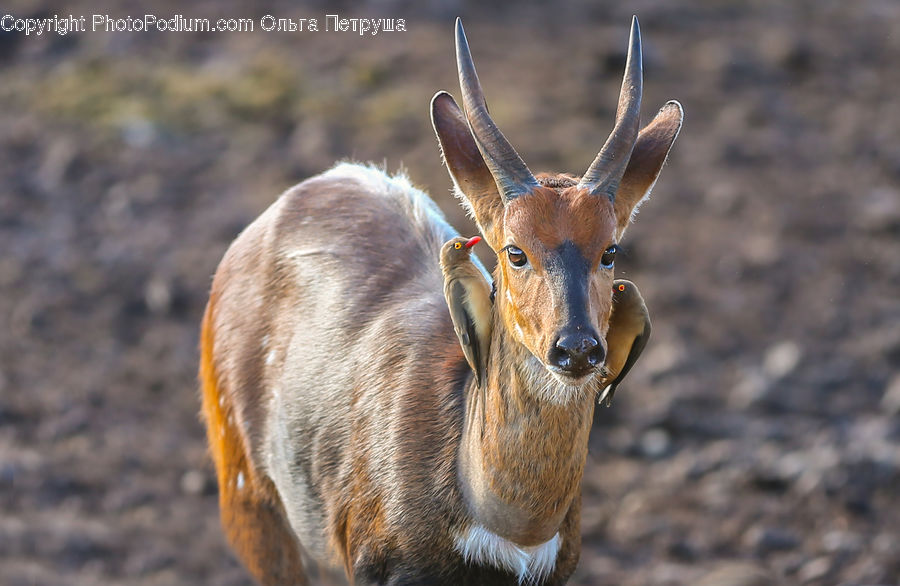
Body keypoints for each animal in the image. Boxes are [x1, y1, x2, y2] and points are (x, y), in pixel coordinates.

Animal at [199, 16, 682, 585]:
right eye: (514, 251)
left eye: (610, 251)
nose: (577, 349)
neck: (511, 532)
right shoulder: (376, 563)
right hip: (247, 494)